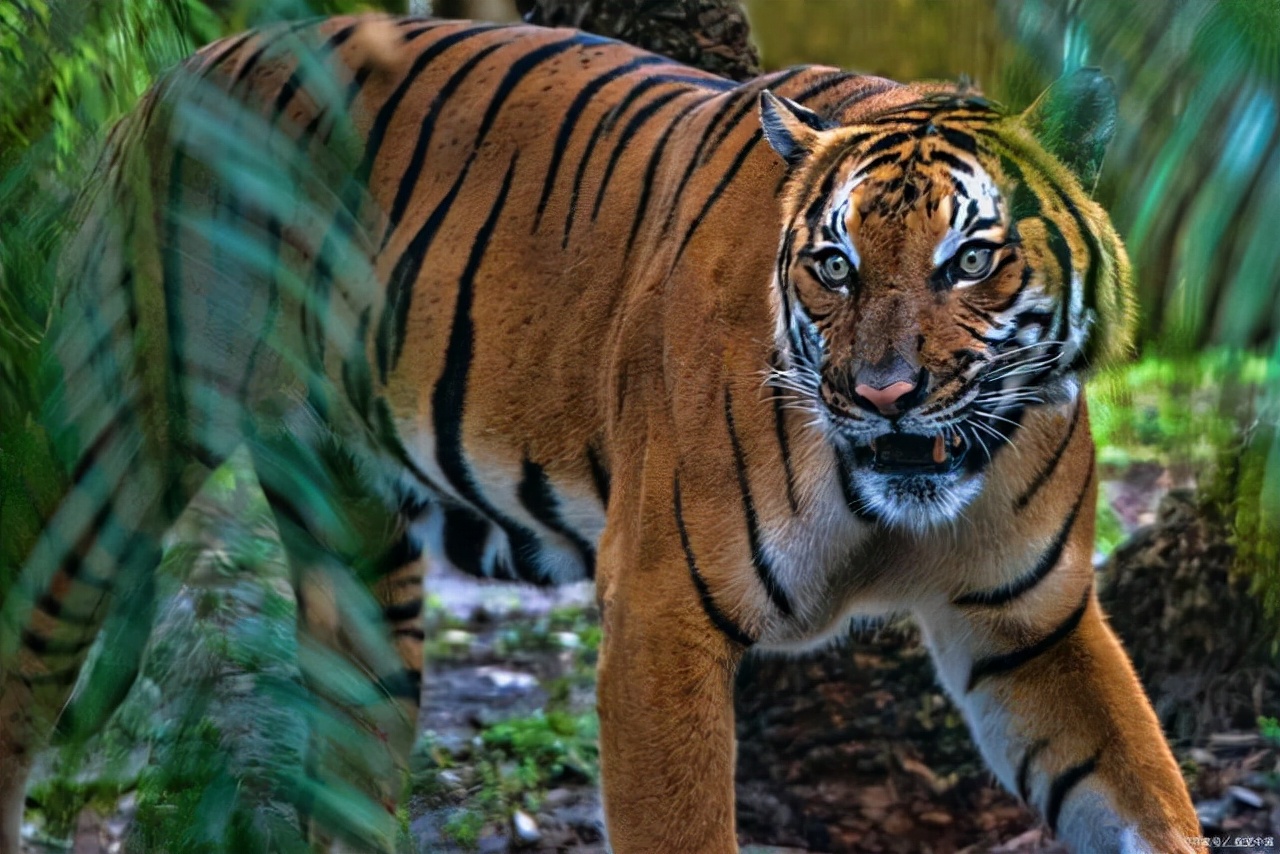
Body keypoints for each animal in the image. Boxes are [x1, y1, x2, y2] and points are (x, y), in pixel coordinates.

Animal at [0, 15, 1198, 854]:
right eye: (834, 265)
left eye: (970, 259)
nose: (884, 394)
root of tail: (179, 71)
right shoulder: (661, 611)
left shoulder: (1031, 620)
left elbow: (1145, 790)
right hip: (111, 455)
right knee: (29, 657)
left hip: (355, 555)